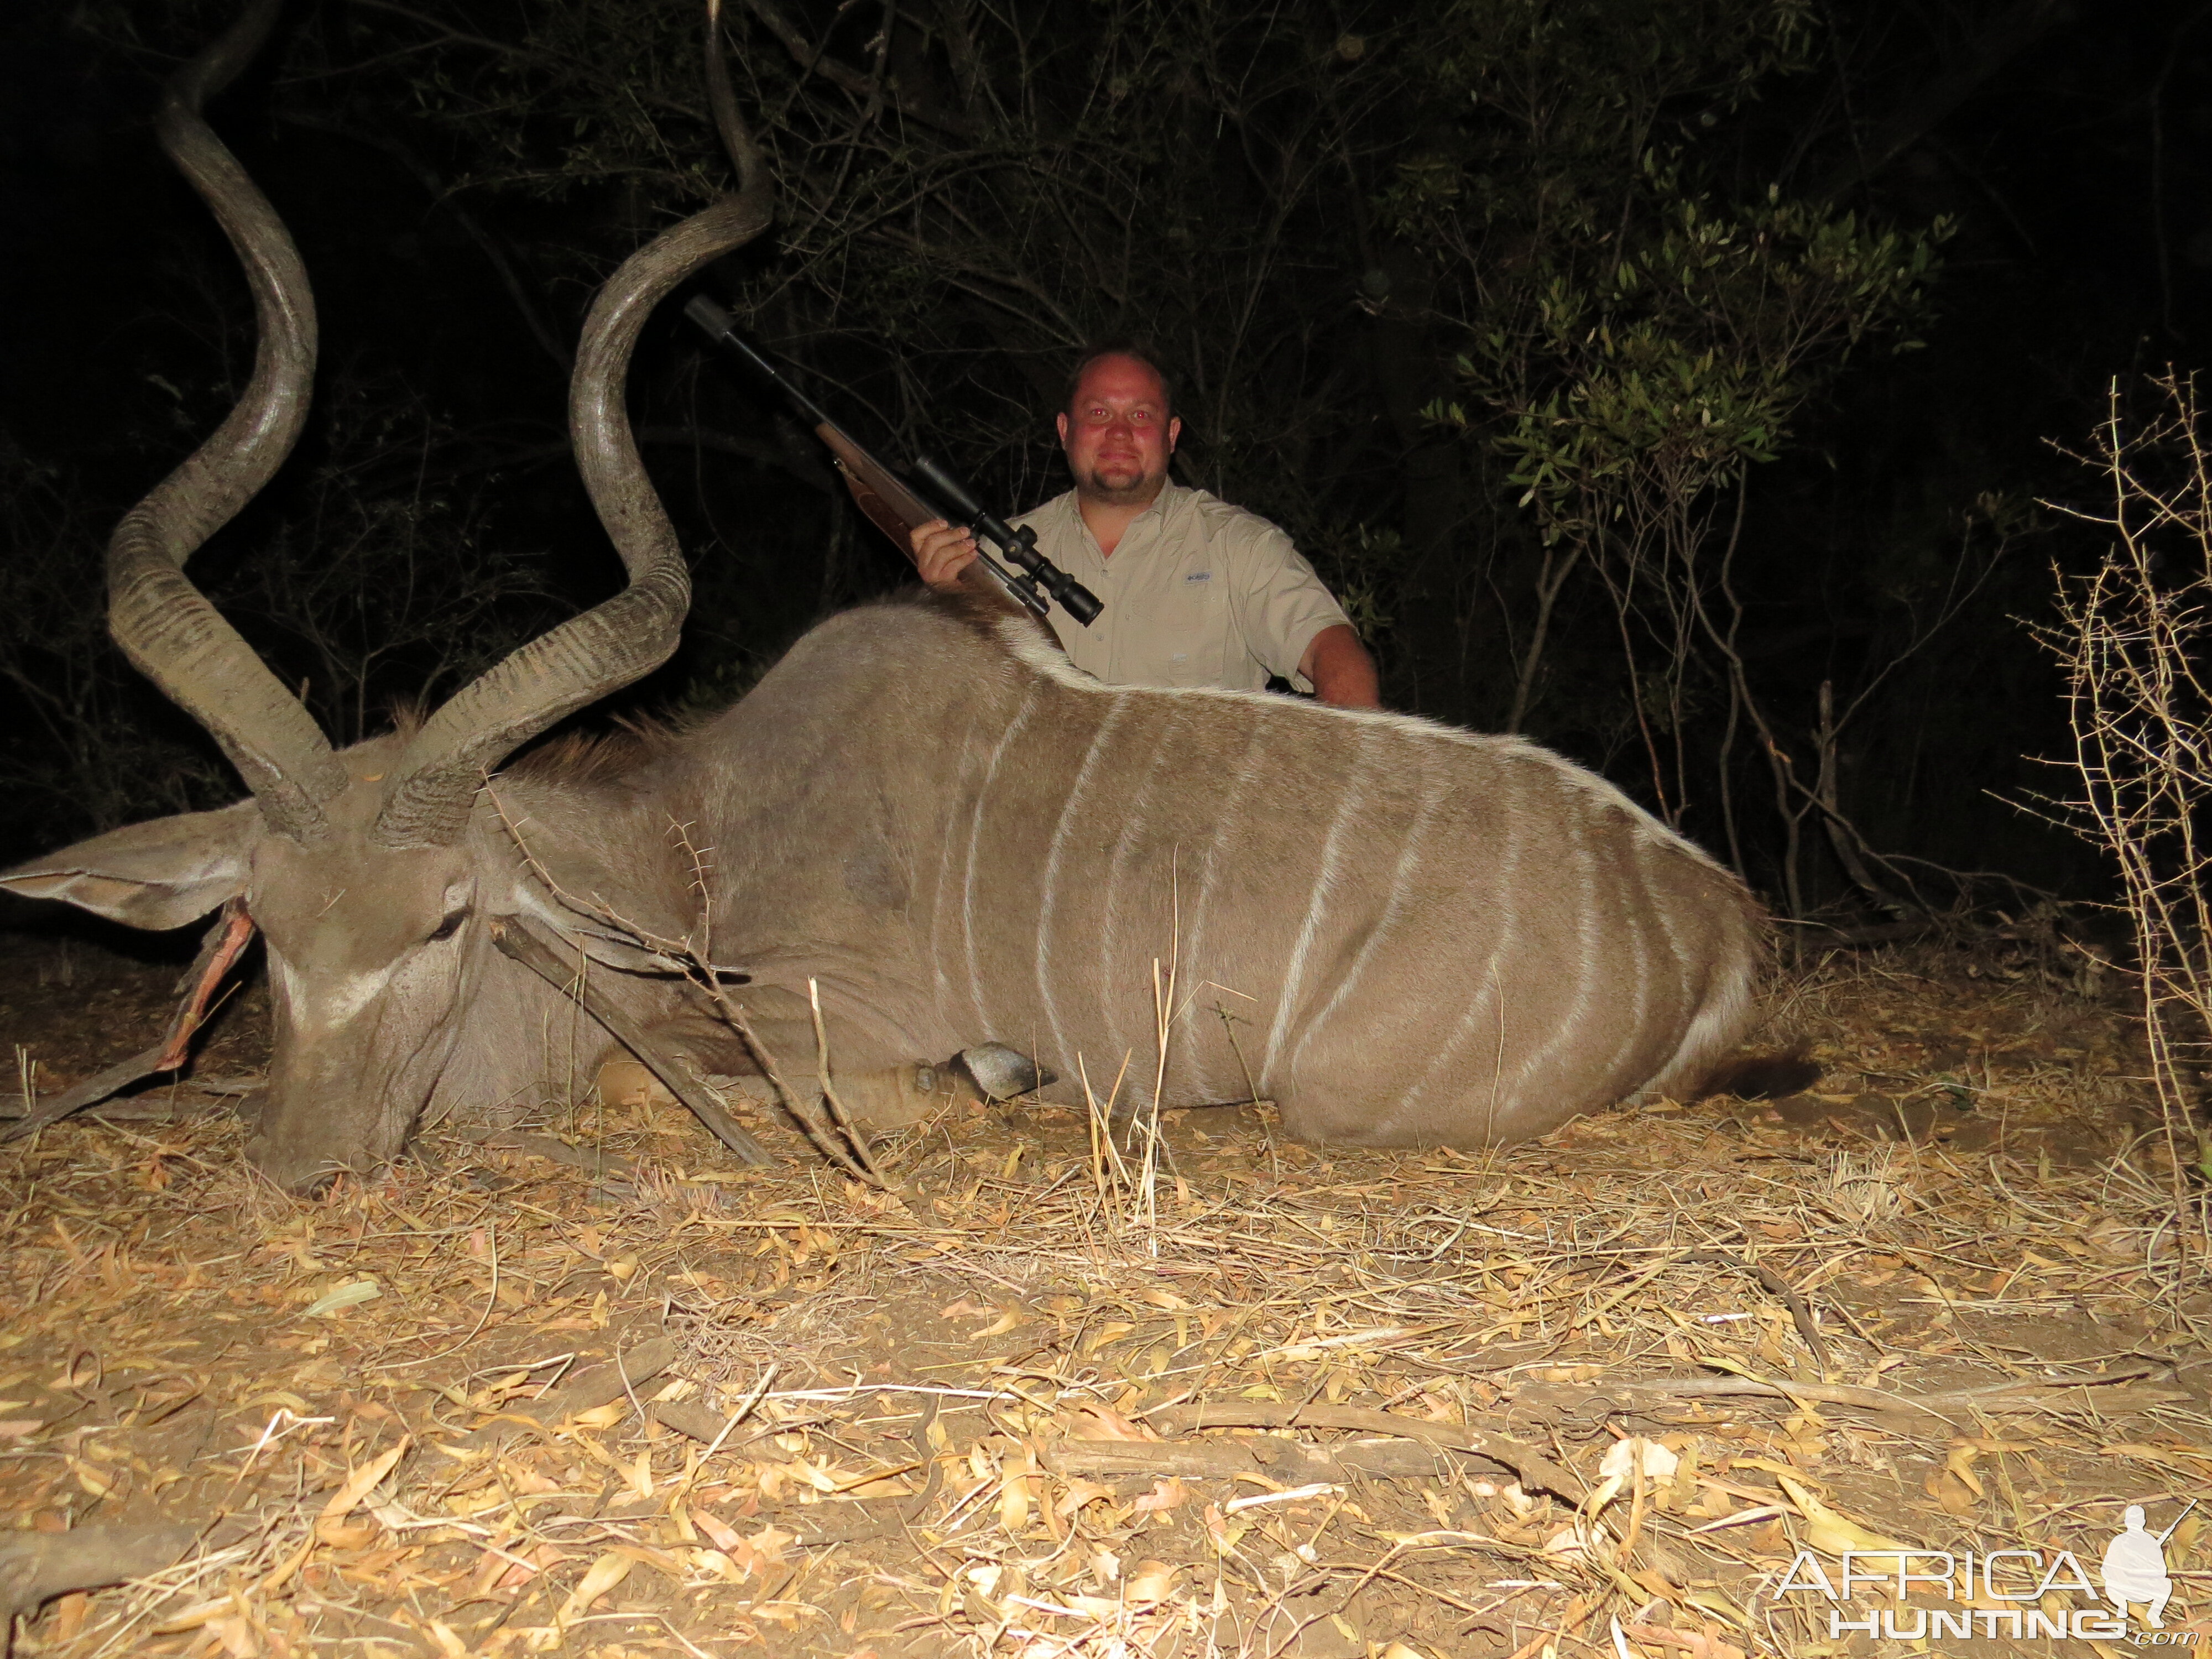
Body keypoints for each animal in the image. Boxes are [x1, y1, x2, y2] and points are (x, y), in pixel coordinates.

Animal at [0, 0, 1778, 1194]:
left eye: (446, 917)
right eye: (262, 918)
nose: (305, 1164)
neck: (696, 835)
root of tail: (1716, 921)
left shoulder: (822, 1018)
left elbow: (713, 1082)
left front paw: (994, 1076)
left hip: (1338, 1095)